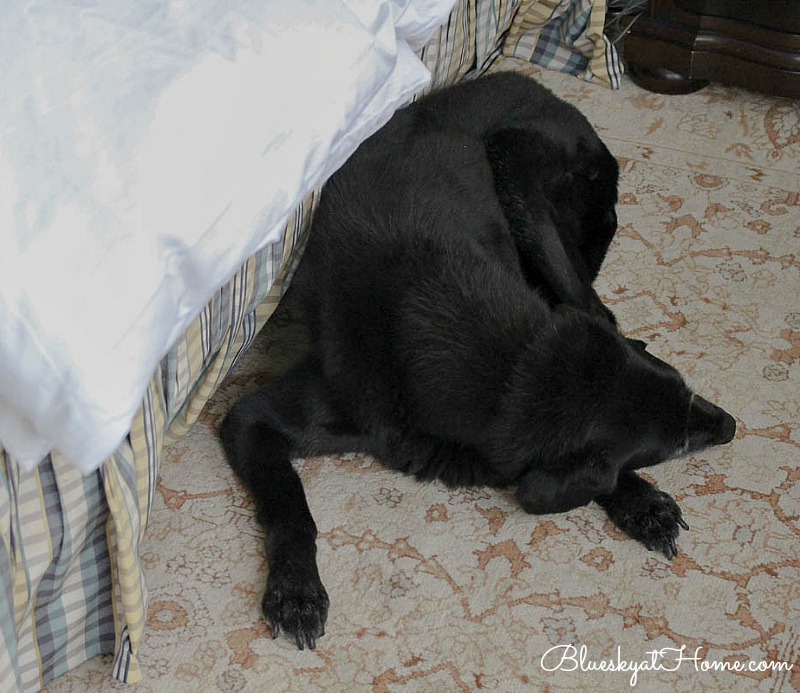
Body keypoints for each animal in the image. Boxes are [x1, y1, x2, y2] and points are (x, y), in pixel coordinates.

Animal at [217, 73, 732, 652]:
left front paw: (639, 502)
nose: (732, 426)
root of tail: (551, 96)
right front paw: (297, 590)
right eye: (673, 448)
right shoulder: (253, 421)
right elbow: (289, 506)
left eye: (688, 389)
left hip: (521, 180)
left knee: (596, 309)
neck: (505, 367)